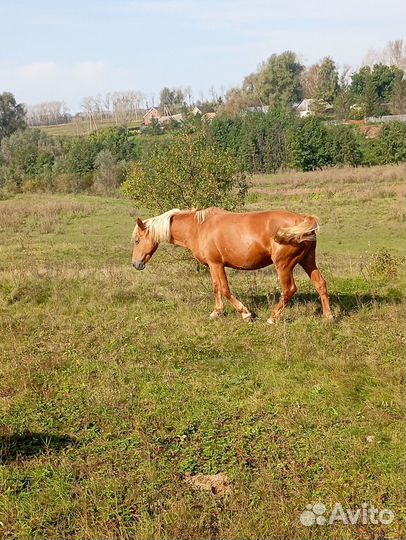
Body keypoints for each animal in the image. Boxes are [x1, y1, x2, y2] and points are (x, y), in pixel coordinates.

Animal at [132, 209, 332, 322]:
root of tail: (303, 220)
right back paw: (328, 317)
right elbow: (216, 287)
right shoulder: (212, 266)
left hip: (283, 265)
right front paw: (216, 312)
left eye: (136, 240)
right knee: (320, 284)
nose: (136, 264)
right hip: (307, 261)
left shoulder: (216, 264)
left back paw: (272, 319)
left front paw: (245, 314)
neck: (198, 228)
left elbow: (224, 289)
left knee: (289, 290)